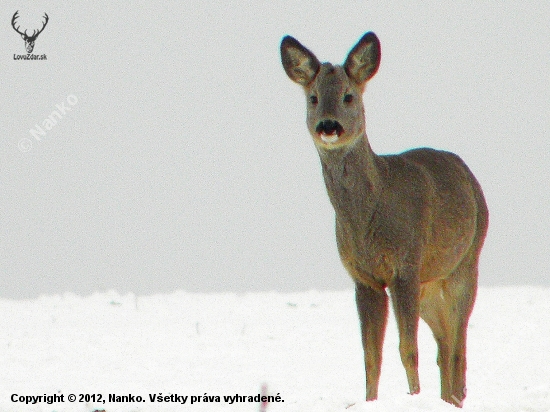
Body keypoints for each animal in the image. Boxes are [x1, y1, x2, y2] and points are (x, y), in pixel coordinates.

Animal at [282, 33, 490, 408]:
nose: (328, 126)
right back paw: (446, 397)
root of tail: (469, 174)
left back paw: (455, 398)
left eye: (348, 95)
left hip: (465, 262)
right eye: (313, 97)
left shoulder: (404, 265)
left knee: (458, 344)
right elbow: (370, 356)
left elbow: (408, 349)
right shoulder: (364, 278)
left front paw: (413, 395)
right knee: (445, 342)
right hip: (429, 283)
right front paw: (371, 401)